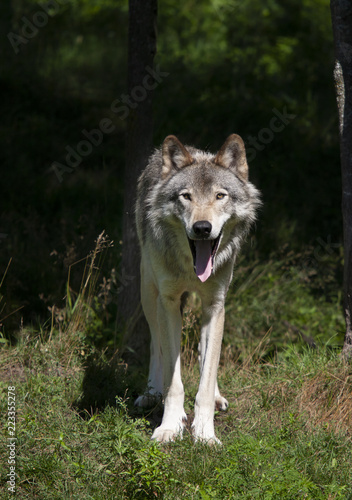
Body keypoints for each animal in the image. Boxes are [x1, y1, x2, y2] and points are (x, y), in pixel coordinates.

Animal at [135, 134, 262, 446]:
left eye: (220, 196)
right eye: (186, 196)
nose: (202, 227)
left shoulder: (215, 305)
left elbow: (206, 375)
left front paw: (205, 433)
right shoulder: (168, 302)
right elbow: (174, 380)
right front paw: (170, 427)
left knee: (207, 355)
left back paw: (216, 396)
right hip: (149, 294)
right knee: (156, 344)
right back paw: (151, 392)